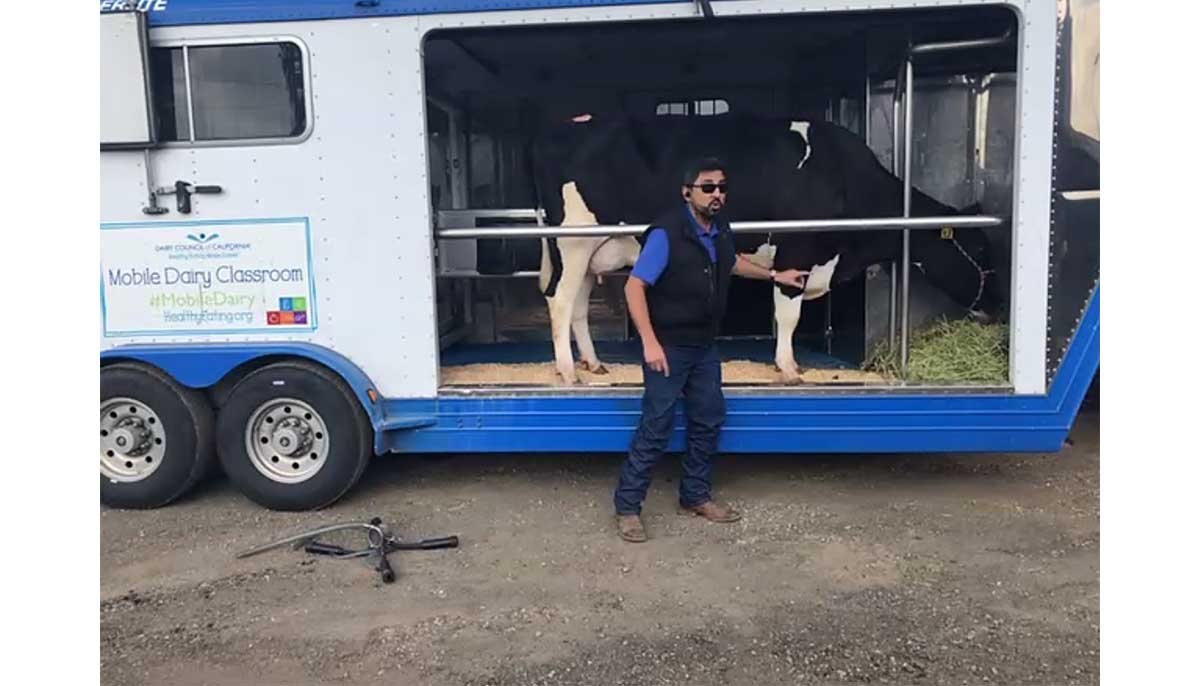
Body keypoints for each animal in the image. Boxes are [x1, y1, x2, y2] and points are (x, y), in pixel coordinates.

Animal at [530, 112, 998, 381]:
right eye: (980, 250)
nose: (995, 309)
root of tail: (563, 129)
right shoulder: (798, 250)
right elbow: (789, 314)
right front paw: (789, 367)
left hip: (591, 251)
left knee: (577, 308)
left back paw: (593, 363)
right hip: (573, 241)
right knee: (560, 302)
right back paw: (568, 370)